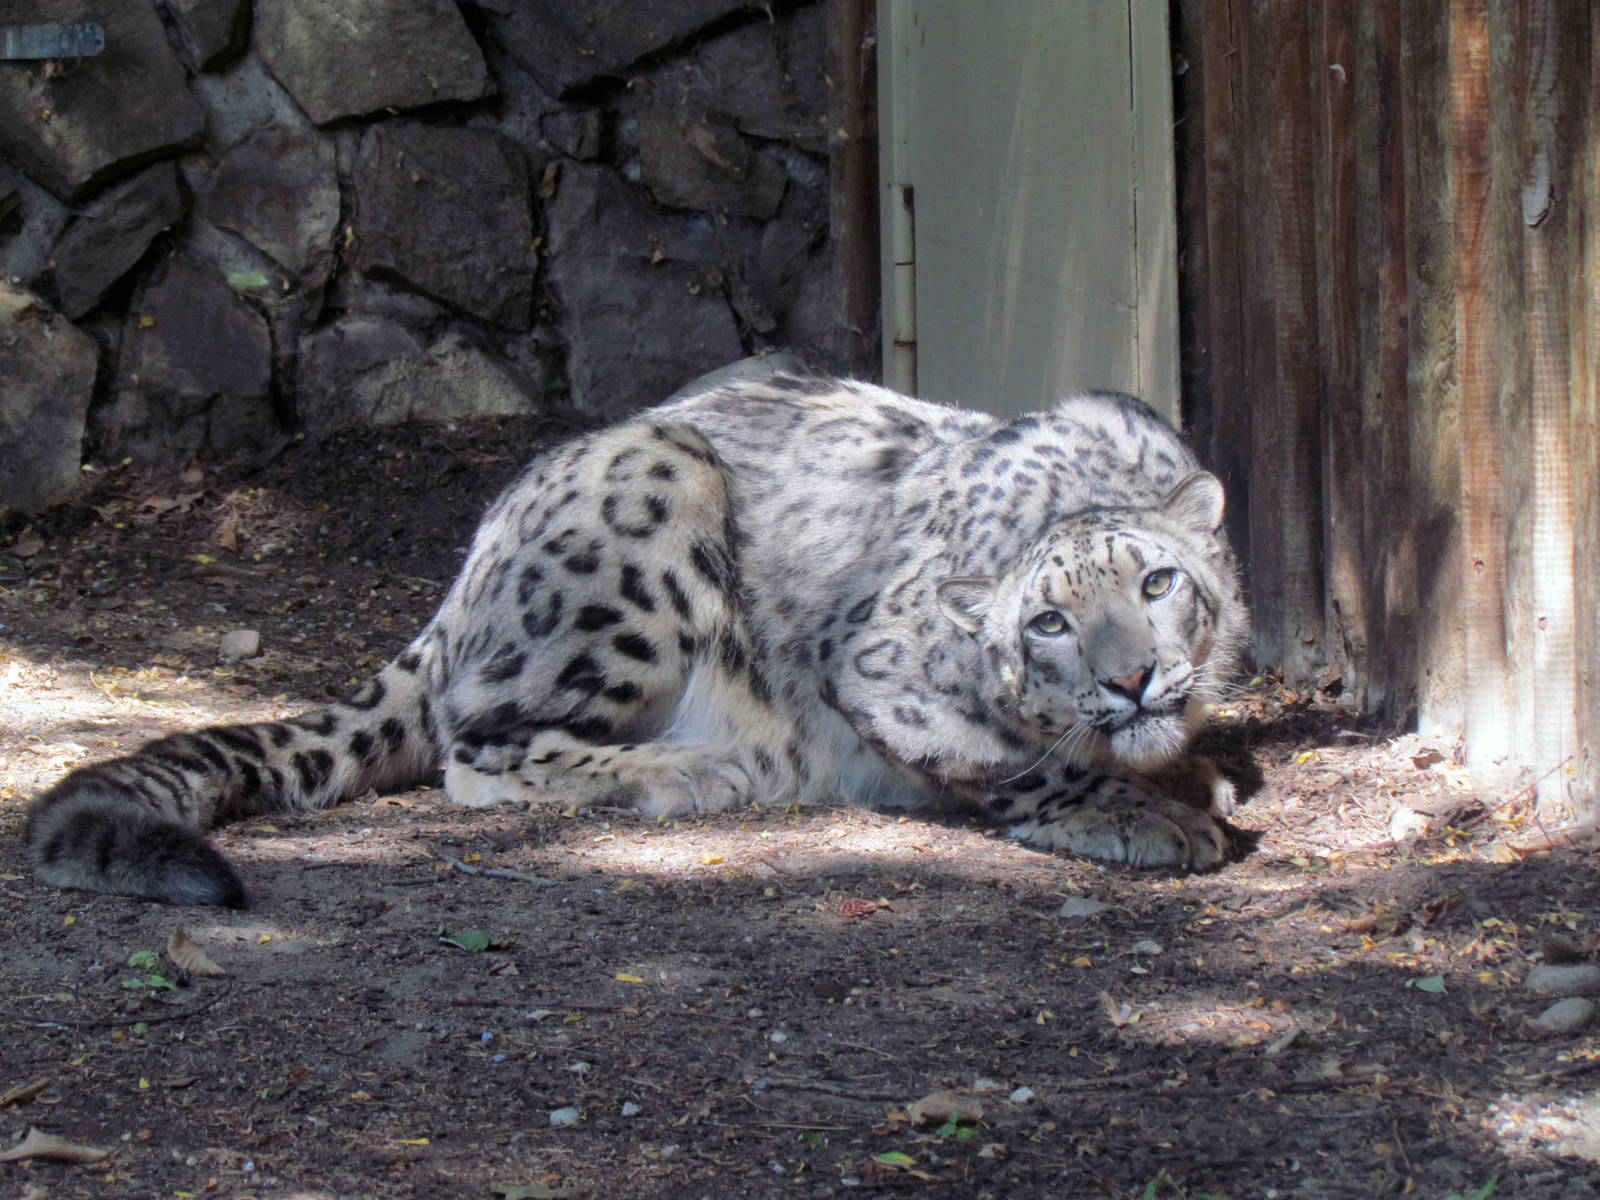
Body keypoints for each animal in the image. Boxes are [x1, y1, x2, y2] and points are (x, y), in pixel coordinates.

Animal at [25, 371, 1248, 907]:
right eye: (1047, 620)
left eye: (1158, 581)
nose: (1133, 678)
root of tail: (469, 567)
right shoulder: (879, 667)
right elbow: (1009, 761)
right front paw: (1143, 815)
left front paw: (1198, 772)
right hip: (649, 509)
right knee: (478, 747)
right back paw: (693, 769)